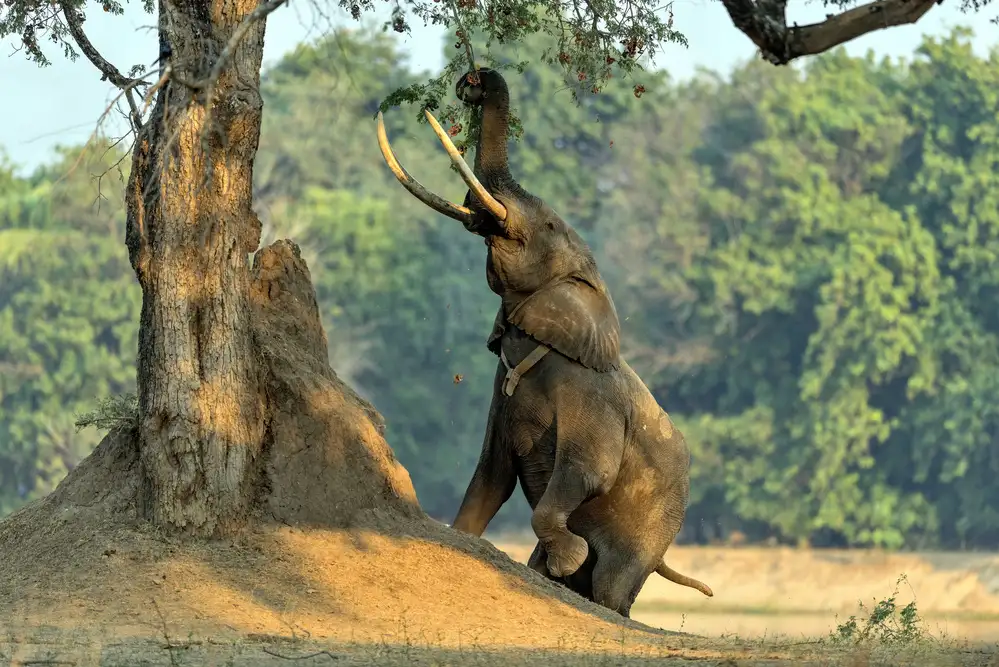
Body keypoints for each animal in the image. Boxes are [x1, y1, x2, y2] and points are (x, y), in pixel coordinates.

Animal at [375, 68, 712, 617]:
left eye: (550, 224)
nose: (472, 82)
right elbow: (490, 475)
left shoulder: (589, 396)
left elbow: (588, 470)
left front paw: (569, 557)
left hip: (655, 523)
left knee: (612, 588)